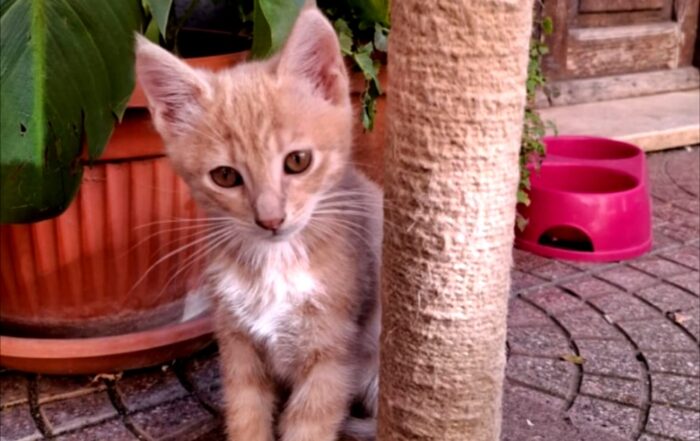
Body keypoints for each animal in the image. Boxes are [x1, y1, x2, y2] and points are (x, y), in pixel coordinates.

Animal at [135, 7, 382, 441]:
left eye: (298, 161)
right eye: (225, 176)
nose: (270, 219)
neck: (276, 263)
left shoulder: (333, 356)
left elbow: (308, 426)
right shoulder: (236, 346)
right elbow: (246, 414)